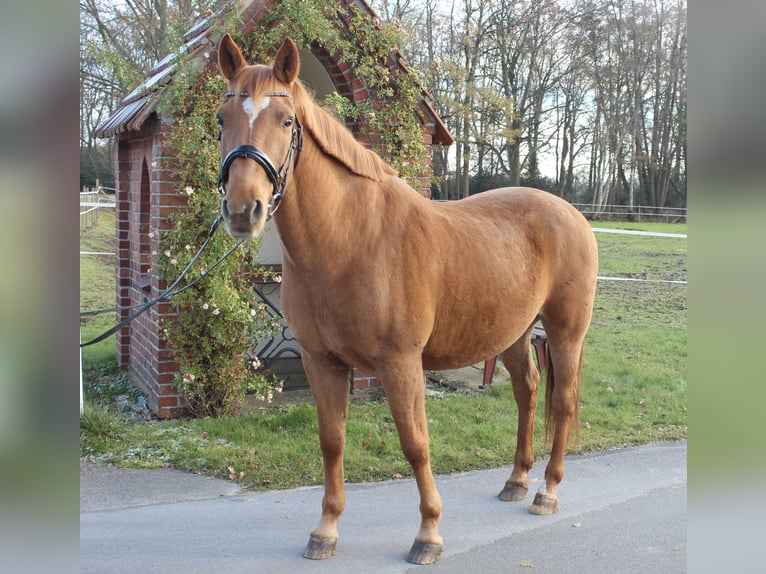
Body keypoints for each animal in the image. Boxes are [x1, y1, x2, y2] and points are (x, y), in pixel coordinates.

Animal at [214, 34, 598, 565]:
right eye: (220, 119)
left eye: (286, 121)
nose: (242, 210)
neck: (348, 240)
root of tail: (573, 215)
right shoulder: (320, 361)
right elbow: (331, 441)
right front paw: (325, 530)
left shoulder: (399, 363)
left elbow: (415, 444)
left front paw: (428, 534)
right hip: (514, 335)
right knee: (527, 392)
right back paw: (517, 481)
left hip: (565, 333)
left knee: (561, 401)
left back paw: (547, 491)